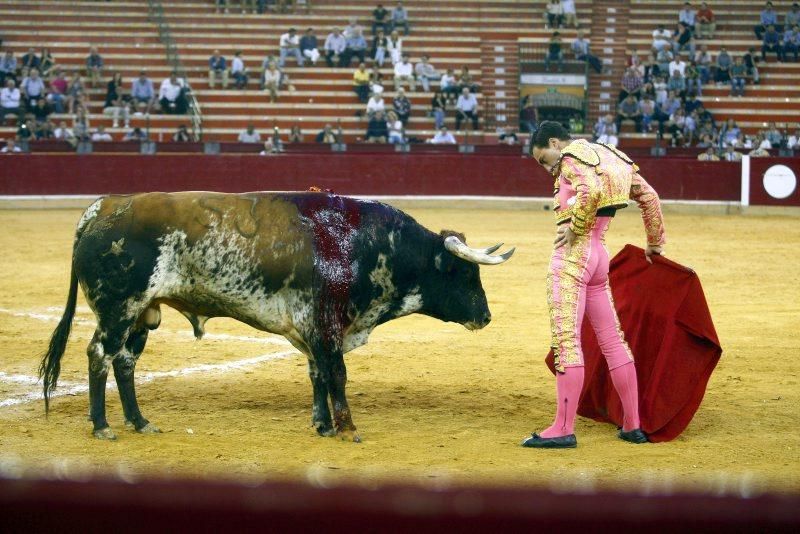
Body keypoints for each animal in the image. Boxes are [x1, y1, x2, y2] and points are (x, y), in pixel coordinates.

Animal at [39, 191, 512, 442]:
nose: (486, 316)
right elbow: (336, 375)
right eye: (465, 274)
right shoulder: (327, 326)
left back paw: (139, 422)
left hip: (142, 315)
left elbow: (318, 375)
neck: (364, 243)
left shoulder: (312, 331)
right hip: (119, 309)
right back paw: (103, 426)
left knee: (124, 363)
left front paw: (322, 425)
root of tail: (102, 207)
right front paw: (347, 429)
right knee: (99, 356)